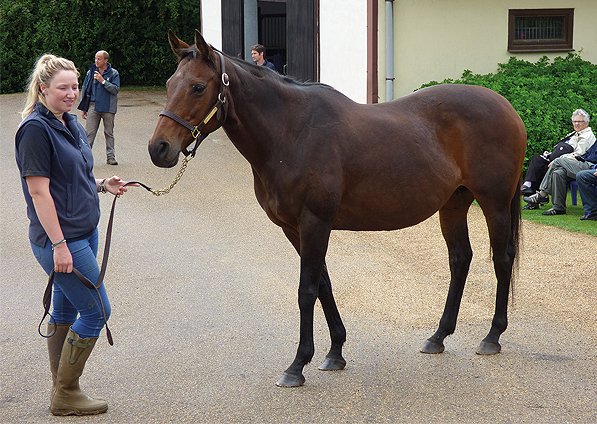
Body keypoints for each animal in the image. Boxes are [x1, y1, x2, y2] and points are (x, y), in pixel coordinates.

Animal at [149, 29, 528, 388]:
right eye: (169, 84)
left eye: (198, 87)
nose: (159, 148)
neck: (291, 132)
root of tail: (506, 106)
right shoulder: (295, 228)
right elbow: (323, 284)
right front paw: (335, 352)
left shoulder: (315, 223)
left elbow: (306, 291)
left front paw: (297, 366)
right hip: (454, 203)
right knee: (460, 259)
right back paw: (438, 336)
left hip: (493, 203)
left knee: (502, 258)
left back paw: (492, 336)